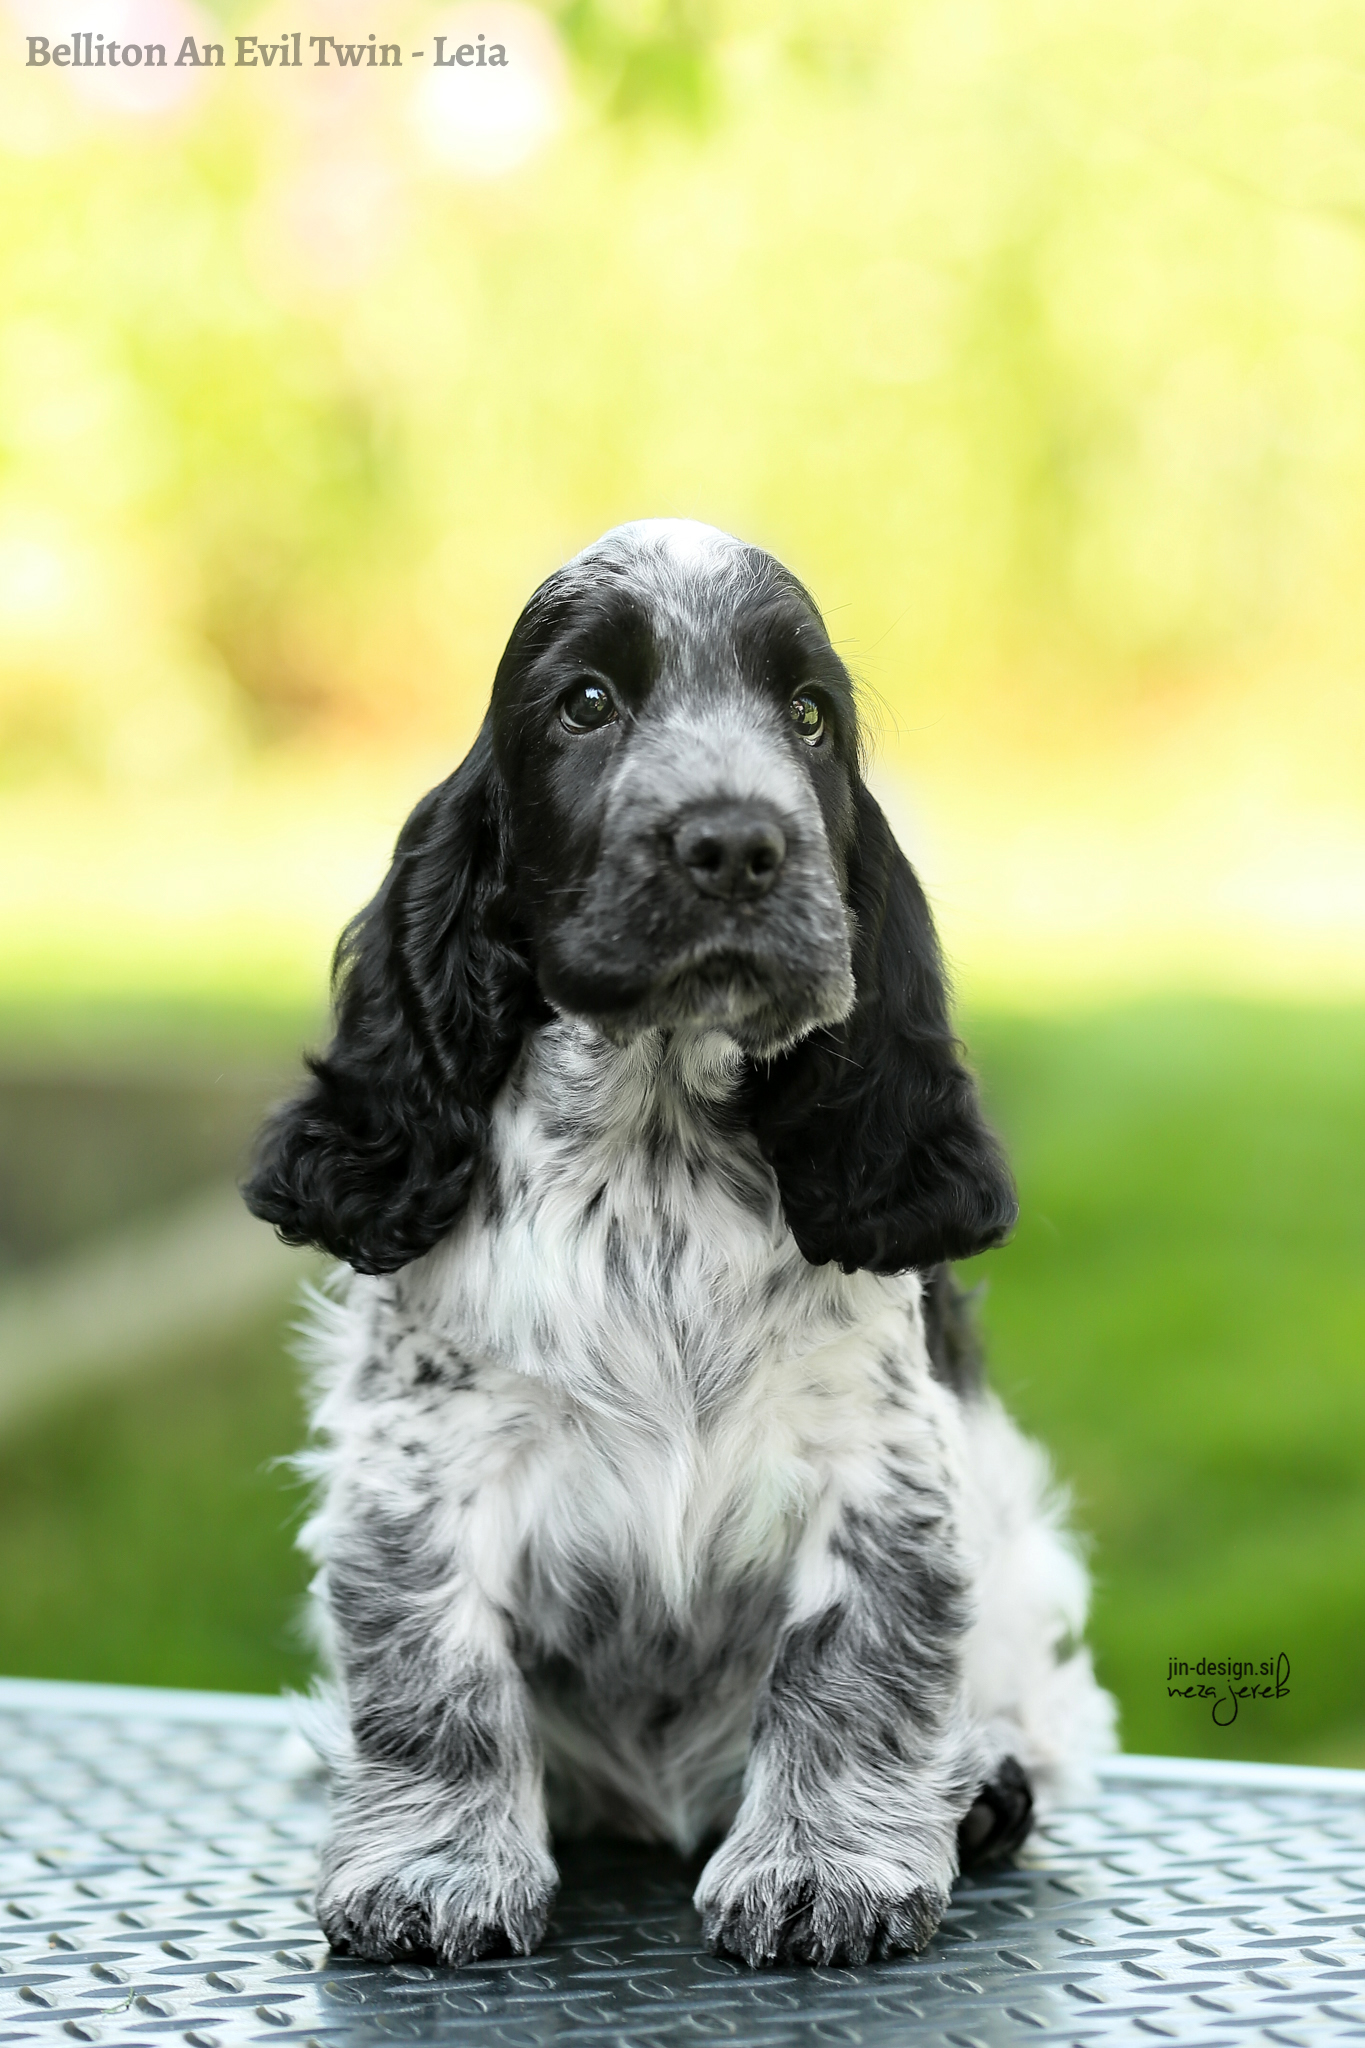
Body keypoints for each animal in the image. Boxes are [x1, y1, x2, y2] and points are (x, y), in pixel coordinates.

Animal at [246, 518, 1115, 1971]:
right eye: (587, 703)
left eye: (809, 717)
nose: (736, 843)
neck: (649, 1150)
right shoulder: (424, 1466)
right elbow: (433, 1675)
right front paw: (433, 1870)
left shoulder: (877, 1467)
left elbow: (855, 1665)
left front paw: (825, 1868)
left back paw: (981, 1792)